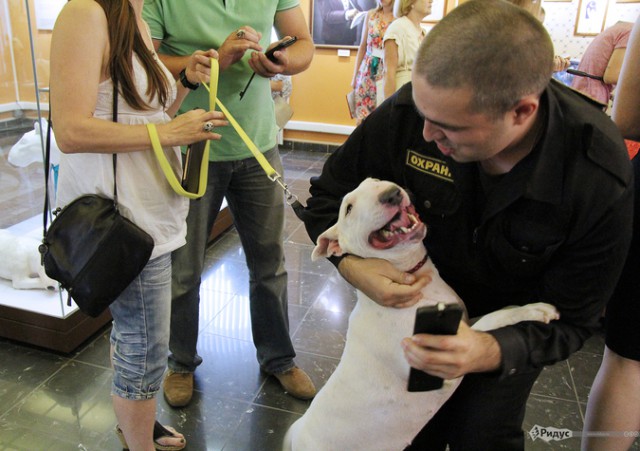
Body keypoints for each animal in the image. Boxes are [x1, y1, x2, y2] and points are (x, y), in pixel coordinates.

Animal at [282, 180, 556, 451]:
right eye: (348, 208)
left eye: (375, 181)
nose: (391, 194)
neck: (415, 278)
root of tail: (297, 434)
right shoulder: (438, 364)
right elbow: (491, 320)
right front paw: (535, 310)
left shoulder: (461, 327)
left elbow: (491, 316)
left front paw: (517, 306)